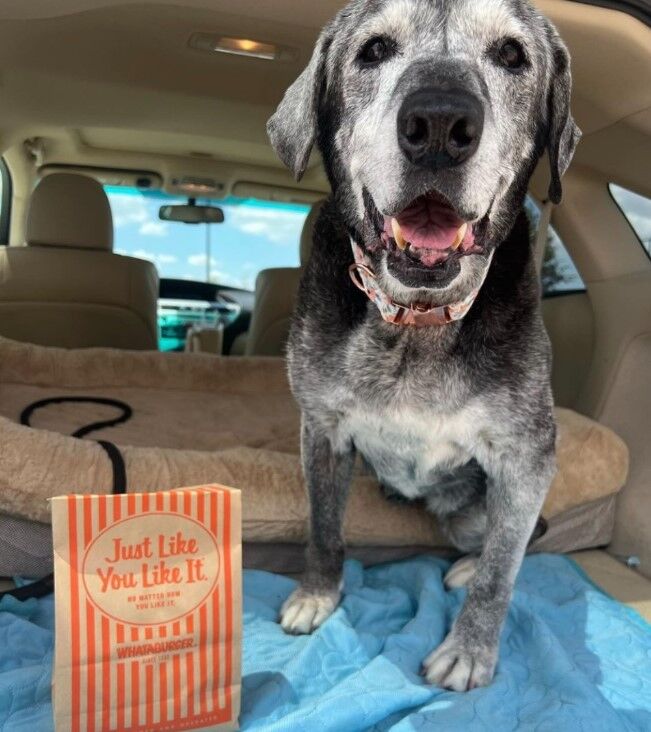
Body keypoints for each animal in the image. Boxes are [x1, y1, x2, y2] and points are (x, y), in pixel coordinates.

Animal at [264, 0, 580, 692]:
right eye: (374, 50)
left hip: (473, 508)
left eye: (512, 55)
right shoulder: (321, 429)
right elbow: (324, 526)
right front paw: (317, 595)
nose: (439, 123)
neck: (416, 322)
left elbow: (502, 570)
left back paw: (465, 569)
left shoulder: (527, 458)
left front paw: (469, 650)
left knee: (511, 540)